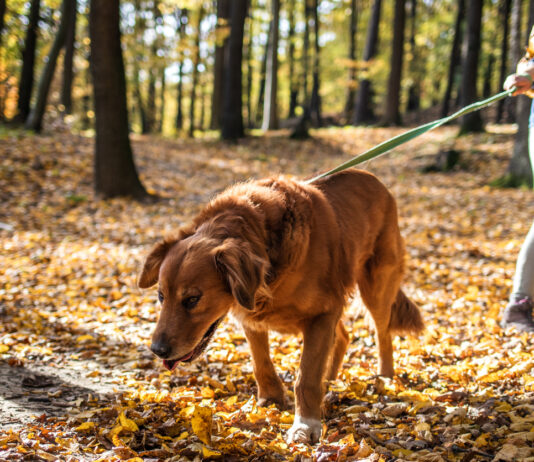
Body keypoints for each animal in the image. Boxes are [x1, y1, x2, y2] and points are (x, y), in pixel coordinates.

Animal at [140, 170, 426, 444]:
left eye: (192, 299)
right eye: (161, 296)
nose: (157, 350)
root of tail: (374, 179)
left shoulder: (322, 312)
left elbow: (306, 377)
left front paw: (305, 425)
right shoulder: (253, 315)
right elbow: (261, 363)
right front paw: (271, 399)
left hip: (377, 285)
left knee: (382, 333)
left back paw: (385, 377)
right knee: (344, 336)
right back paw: (330, 379)